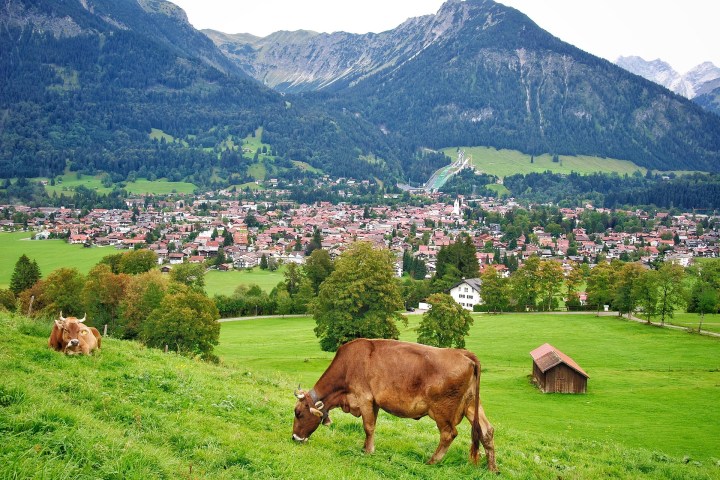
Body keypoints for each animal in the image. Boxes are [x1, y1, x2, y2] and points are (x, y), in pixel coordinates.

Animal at [292, 338, 497, 472]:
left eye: (298, 413)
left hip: (442, 410)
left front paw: (368, 452)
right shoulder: (373, 402)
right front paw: (366, 448)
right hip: (471, 404)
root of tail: (464, 353)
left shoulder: (364, 398)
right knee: (487, 431)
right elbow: (371, 426)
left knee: (449, 433)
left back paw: (432, 462)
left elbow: (368, 427)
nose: (294, 438)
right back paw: (492, 469)